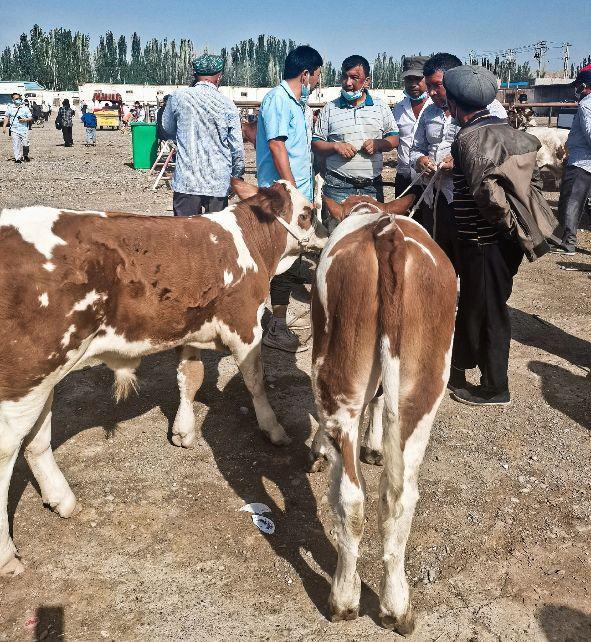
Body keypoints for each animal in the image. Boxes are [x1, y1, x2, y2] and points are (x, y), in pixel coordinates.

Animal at [0, 180, 328, 576]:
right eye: (308, 211)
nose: (326, 234)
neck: (248, 243)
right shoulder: (245, 325)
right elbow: (255, 381)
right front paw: (273, 429)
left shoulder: (191, 329)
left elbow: (190, 377)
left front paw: (183, 430)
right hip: (22, 380)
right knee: (7, 452)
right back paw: (7, 555)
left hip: (44, 376)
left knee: (36, 440)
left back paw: (62, 500)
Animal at [312, 194, 456, 632]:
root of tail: (385, 231)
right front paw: (375, 447)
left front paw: (323, 448)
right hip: (423, 390)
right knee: (400, 497)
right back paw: (397, 606)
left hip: (336, 375)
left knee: (351, 497)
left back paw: (344, 599)